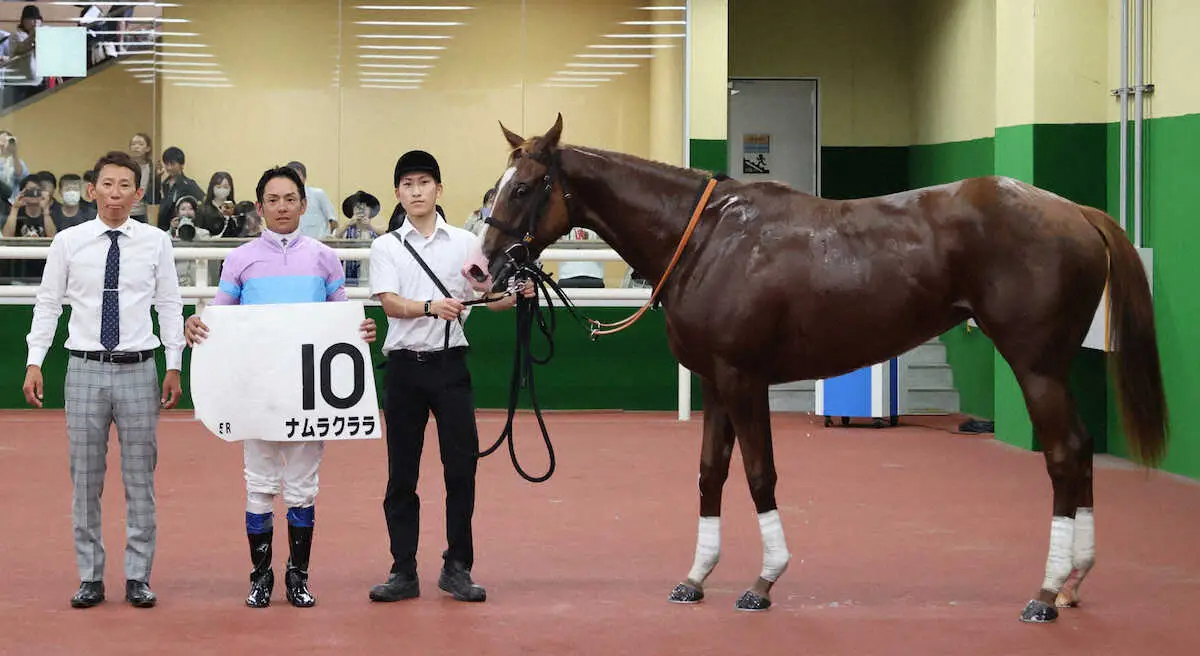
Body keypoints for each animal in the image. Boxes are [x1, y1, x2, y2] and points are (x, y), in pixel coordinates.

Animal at [472, 115, 1166, 623]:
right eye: (491, 190)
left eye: (525, 188)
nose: (482, 268)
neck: (709, 239)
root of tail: (1077, 212)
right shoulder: (715, 382)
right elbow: (710, 473)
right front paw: (695, 577)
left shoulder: (744, 379)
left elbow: (759, 474)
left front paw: (763, 582)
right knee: (1080, 449)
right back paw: (1073, 581)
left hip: (1037, 366)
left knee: (1064, 454)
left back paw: (1046, 594)